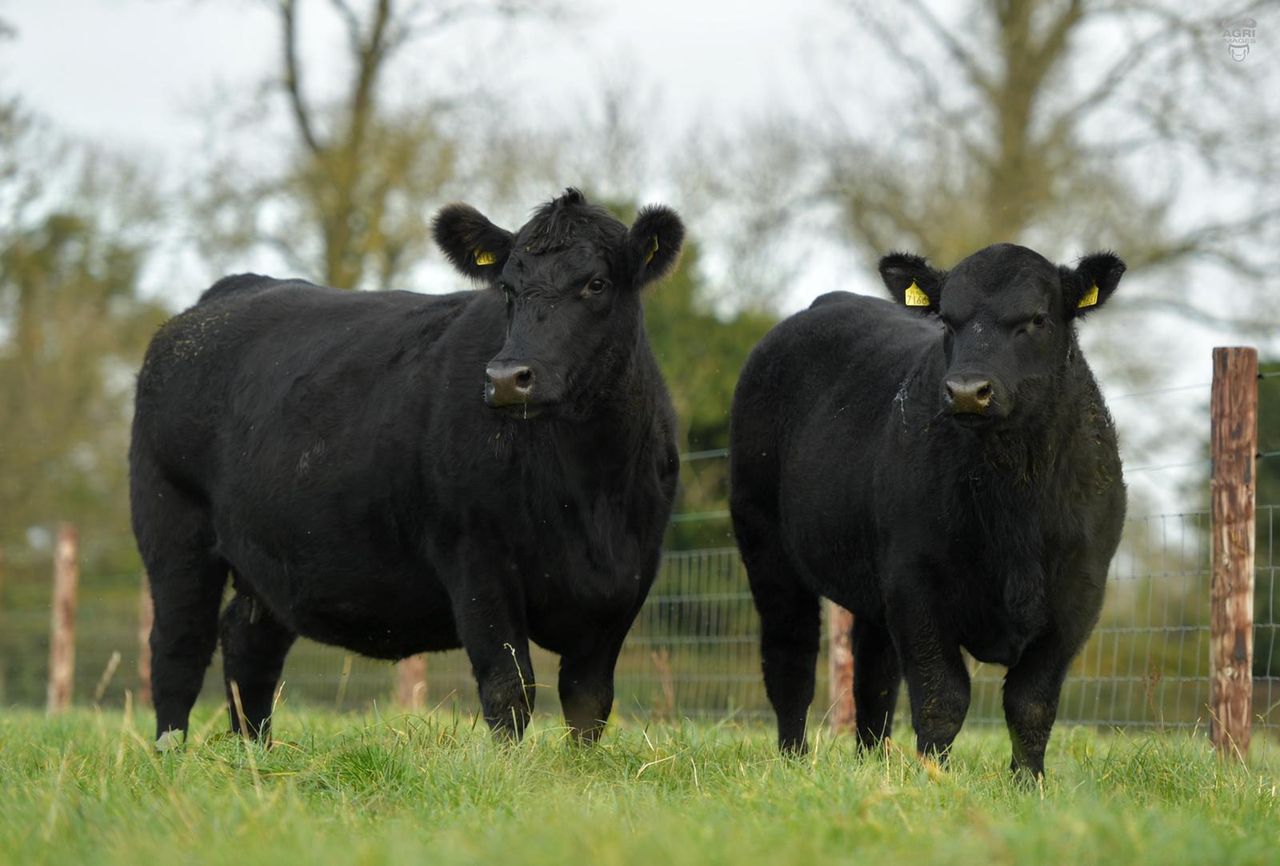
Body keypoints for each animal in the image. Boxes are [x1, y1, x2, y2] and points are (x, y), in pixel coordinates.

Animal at [129, 189, 685, 747]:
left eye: (596, 283)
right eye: (508, 288)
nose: (508, 377)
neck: (589, 488)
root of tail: (229, 292)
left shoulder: (629, 580)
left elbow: (589, 700)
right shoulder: (476, 560)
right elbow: (509, 689)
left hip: (269, 560)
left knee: (248, 648)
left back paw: (255, 755)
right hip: (173, 527)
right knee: (179, 649)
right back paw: (171, 753)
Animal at [729, 243, 1127, 779]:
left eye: (1038, 318)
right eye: (947, 321)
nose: (967, 390)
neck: (1014, 506)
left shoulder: (1078, 595)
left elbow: (1032, 703)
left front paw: (1029, 784)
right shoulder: (916, 584)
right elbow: (943, 697)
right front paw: (932, 778)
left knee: (873, 677)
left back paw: (874, 761)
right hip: (765, 545)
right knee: (790, 660)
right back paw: (794, 759)